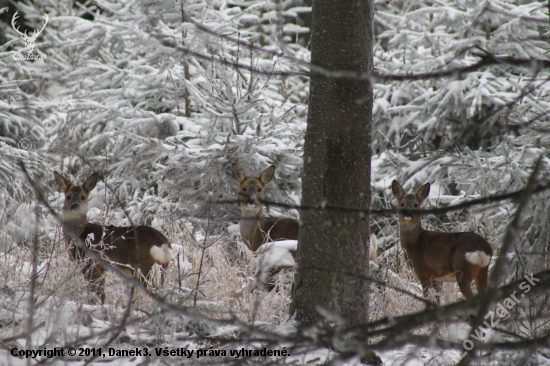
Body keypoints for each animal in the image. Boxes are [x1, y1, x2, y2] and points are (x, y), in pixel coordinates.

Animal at [55, 172, 172, 304]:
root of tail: (164, 242)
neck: (81, 234)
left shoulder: (90, 264)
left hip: (143, 266)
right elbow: (101, 294)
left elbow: (95, 293)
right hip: (162, 267)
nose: (75, 207)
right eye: (68, 196)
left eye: (83, 197)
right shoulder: (100, 268)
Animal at [394, 179, 494, 308]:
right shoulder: (437, 278)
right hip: (482, 271)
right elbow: (437, 300)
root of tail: (482, 249)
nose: (408, 214)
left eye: (416, 204)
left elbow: (428, 301)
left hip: (462, 269)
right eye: (402, 203)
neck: (414, 243)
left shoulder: (423, 273)